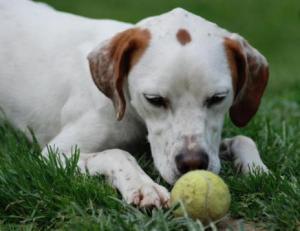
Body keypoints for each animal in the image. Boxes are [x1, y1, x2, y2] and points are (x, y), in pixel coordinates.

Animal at [0, 0, 268, 208]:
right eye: (154, 99)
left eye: (217, 98)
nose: (193, 164)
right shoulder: (54, 154)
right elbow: (117, 153)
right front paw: (143, 186)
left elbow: (244, 139)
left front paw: (256, 168)